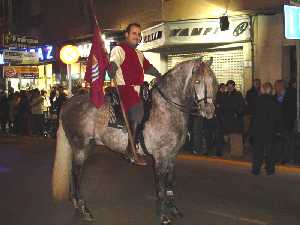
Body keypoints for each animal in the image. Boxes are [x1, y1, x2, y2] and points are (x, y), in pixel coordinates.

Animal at [51, 57, 216, 224]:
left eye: (212, 80)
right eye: (197, 81)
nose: (209, 111)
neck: (167, 108)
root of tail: (69, 102)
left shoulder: (172, 156)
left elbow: (170, 182)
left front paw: (173, 209)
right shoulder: (161, 156)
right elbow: (160, 186)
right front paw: (163, 214)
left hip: (87, 146)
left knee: (74, 172)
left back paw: (76, 203)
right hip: (80, 147)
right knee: (76, 173)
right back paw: (84, 209)